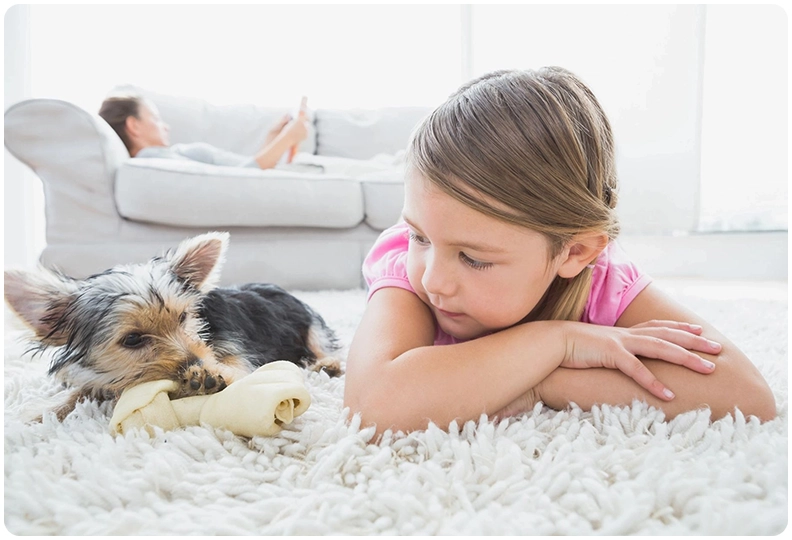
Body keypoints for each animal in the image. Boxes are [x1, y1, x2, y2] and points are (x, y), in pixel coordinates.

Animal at [4, 230, 342, 420]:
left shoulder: (234, 354)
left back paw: (327, 364)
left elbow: (234, 370)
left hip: (311, 321)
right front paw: (43, 412)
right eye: (133, 339)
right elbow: (84, 389)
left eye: (183, 318)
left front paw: (208, 376)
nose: (198, 362)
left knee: (320, 343)